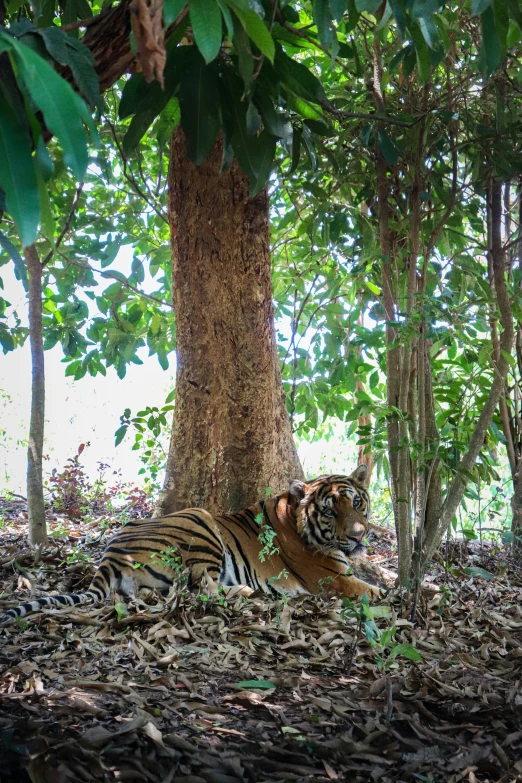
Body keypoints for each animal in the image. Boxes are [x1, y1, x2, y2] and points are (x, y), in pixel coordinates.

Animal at [1, 466, 382, 624]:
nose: (358, 535)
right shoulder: (332, 578)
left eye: (357, 503)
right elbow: (375, 591)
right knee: (202, 588)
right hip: (201, 521)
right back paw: (250, 592)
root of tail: (110, 555)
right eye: (330, 511)